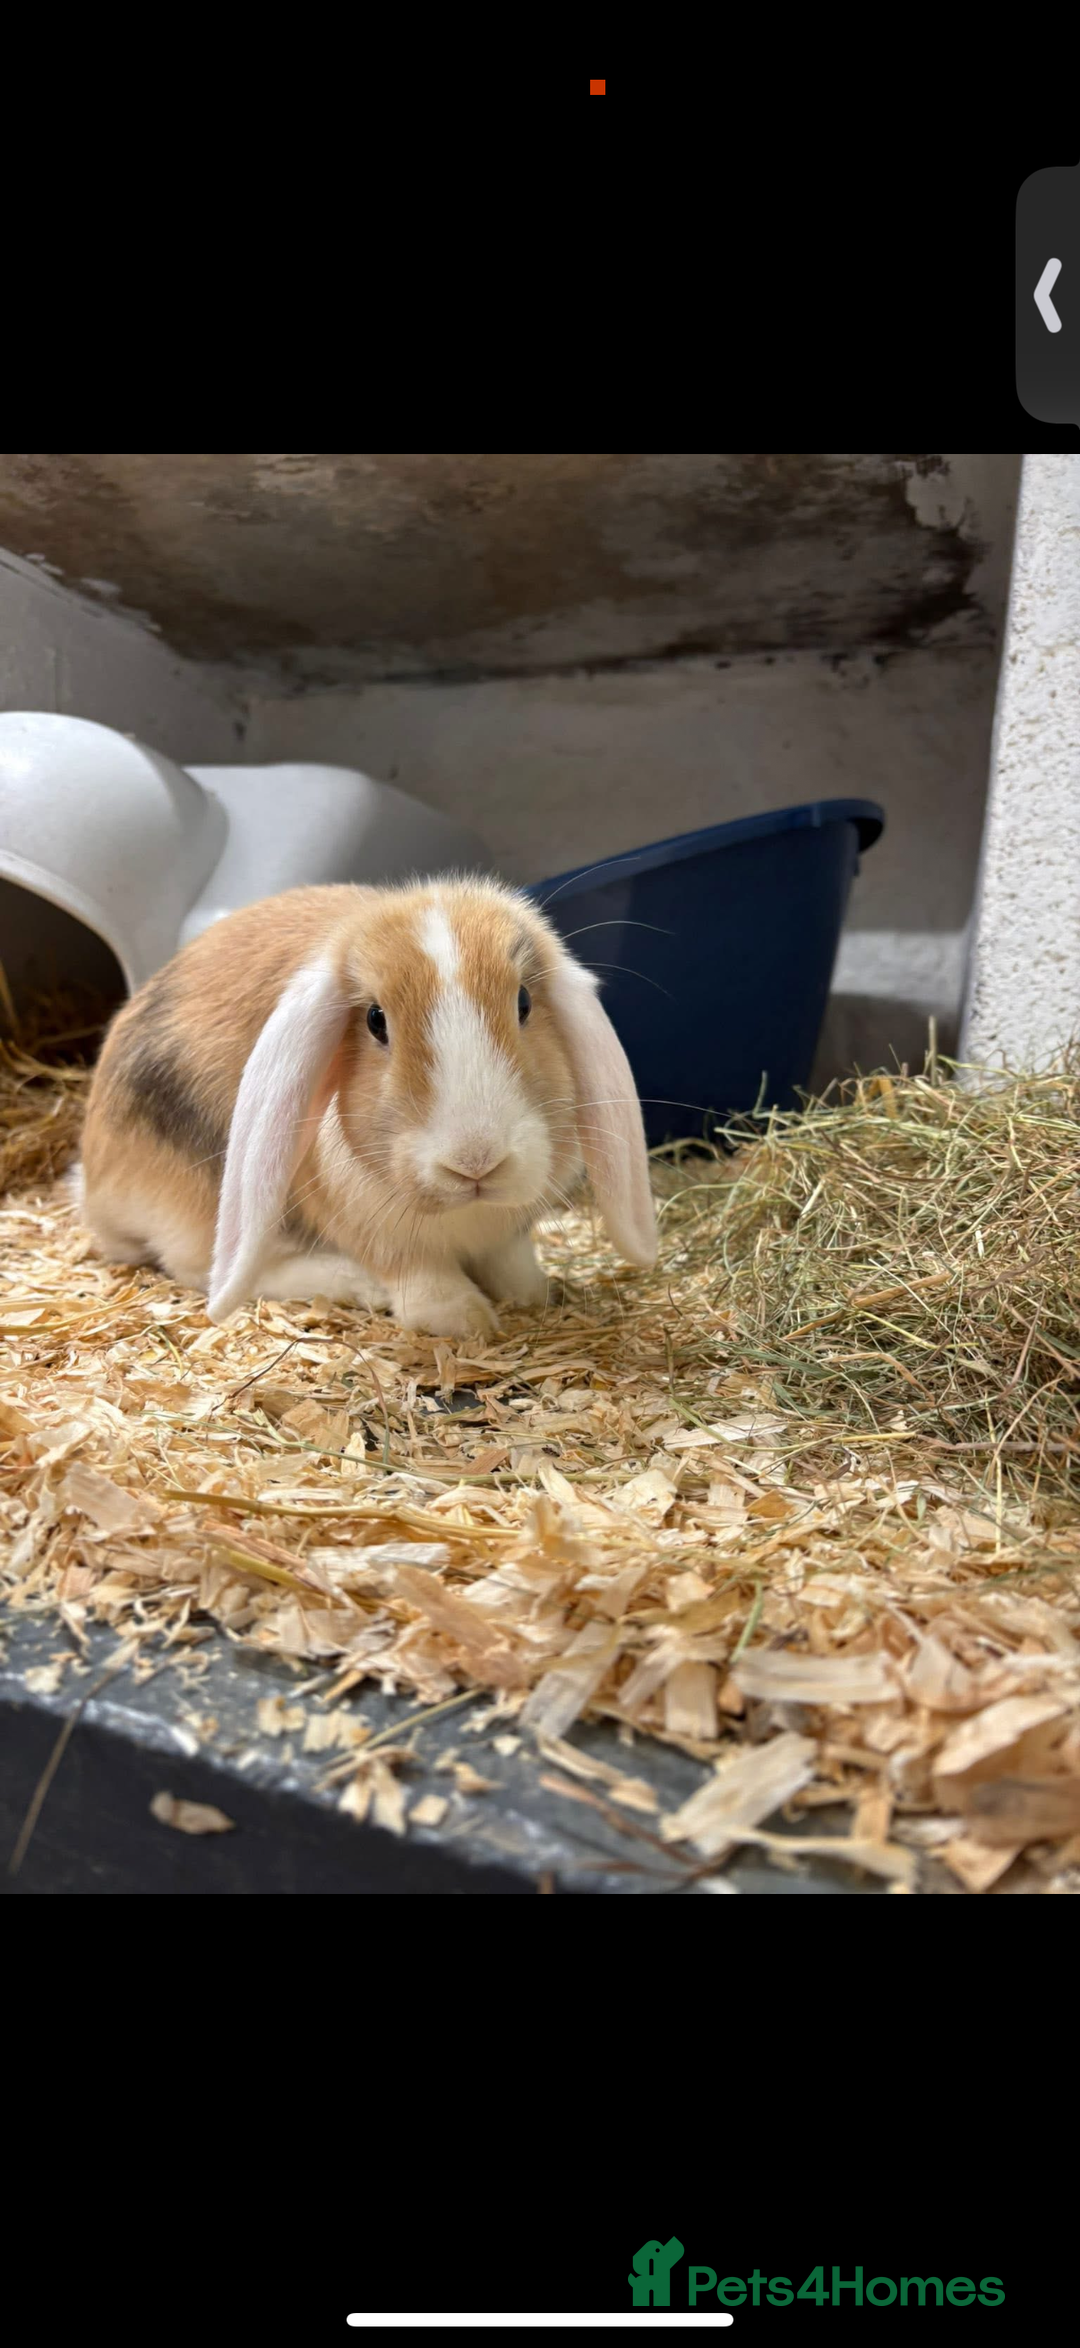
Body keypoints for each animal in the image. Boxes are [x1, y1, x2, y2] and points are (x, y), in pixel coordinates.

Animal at [76, 875, 658, 1340]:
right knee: (210, 1269)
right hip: (206, 1207)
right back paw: (354, 1285)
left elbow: (512, 1262)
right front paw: (465, 1323)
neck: (464, 1211)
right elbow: (422, 1279)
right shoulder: (381, 1234)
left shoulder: (509, 1233)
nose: (475, 1161)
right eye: (376, 1021)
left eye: (524, 1003)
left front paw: (534, 1296)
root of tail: (92, 1186)